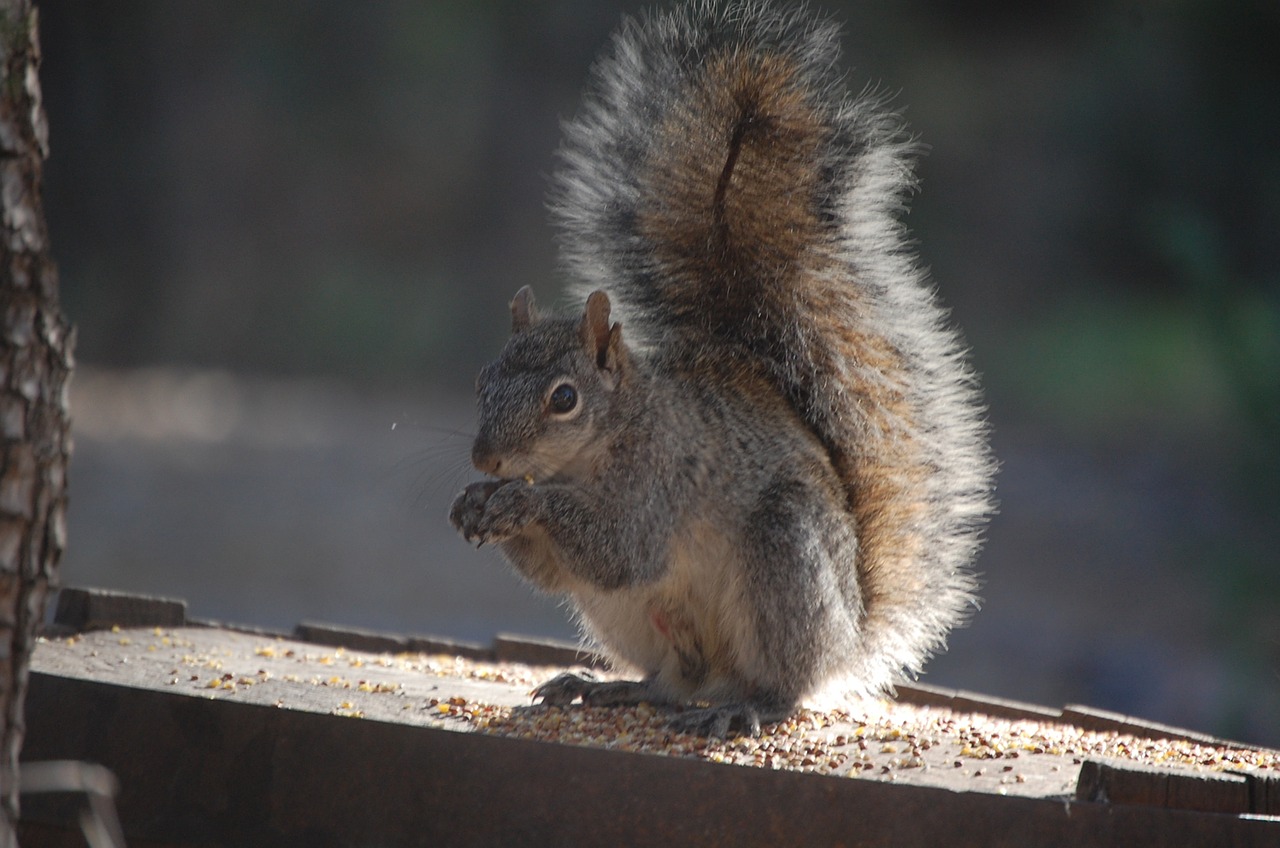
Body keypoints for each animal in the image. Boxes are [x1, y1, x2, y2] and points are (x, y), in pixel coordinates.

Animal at [445, 0, 993, 737]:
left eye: (564, 398)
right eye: (483, 381)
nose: (487, 460)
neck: (595, 449)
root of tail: (848, 639)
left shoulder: (663, 474)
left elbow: (620, 549)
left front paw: (521, 501)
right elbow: (559, 573)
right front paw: (474, 503)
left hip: (783, 560)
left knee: (781, 682)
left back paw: (745, 707)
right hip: (639, 620)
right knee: (673, 682)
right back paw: (608, 687)